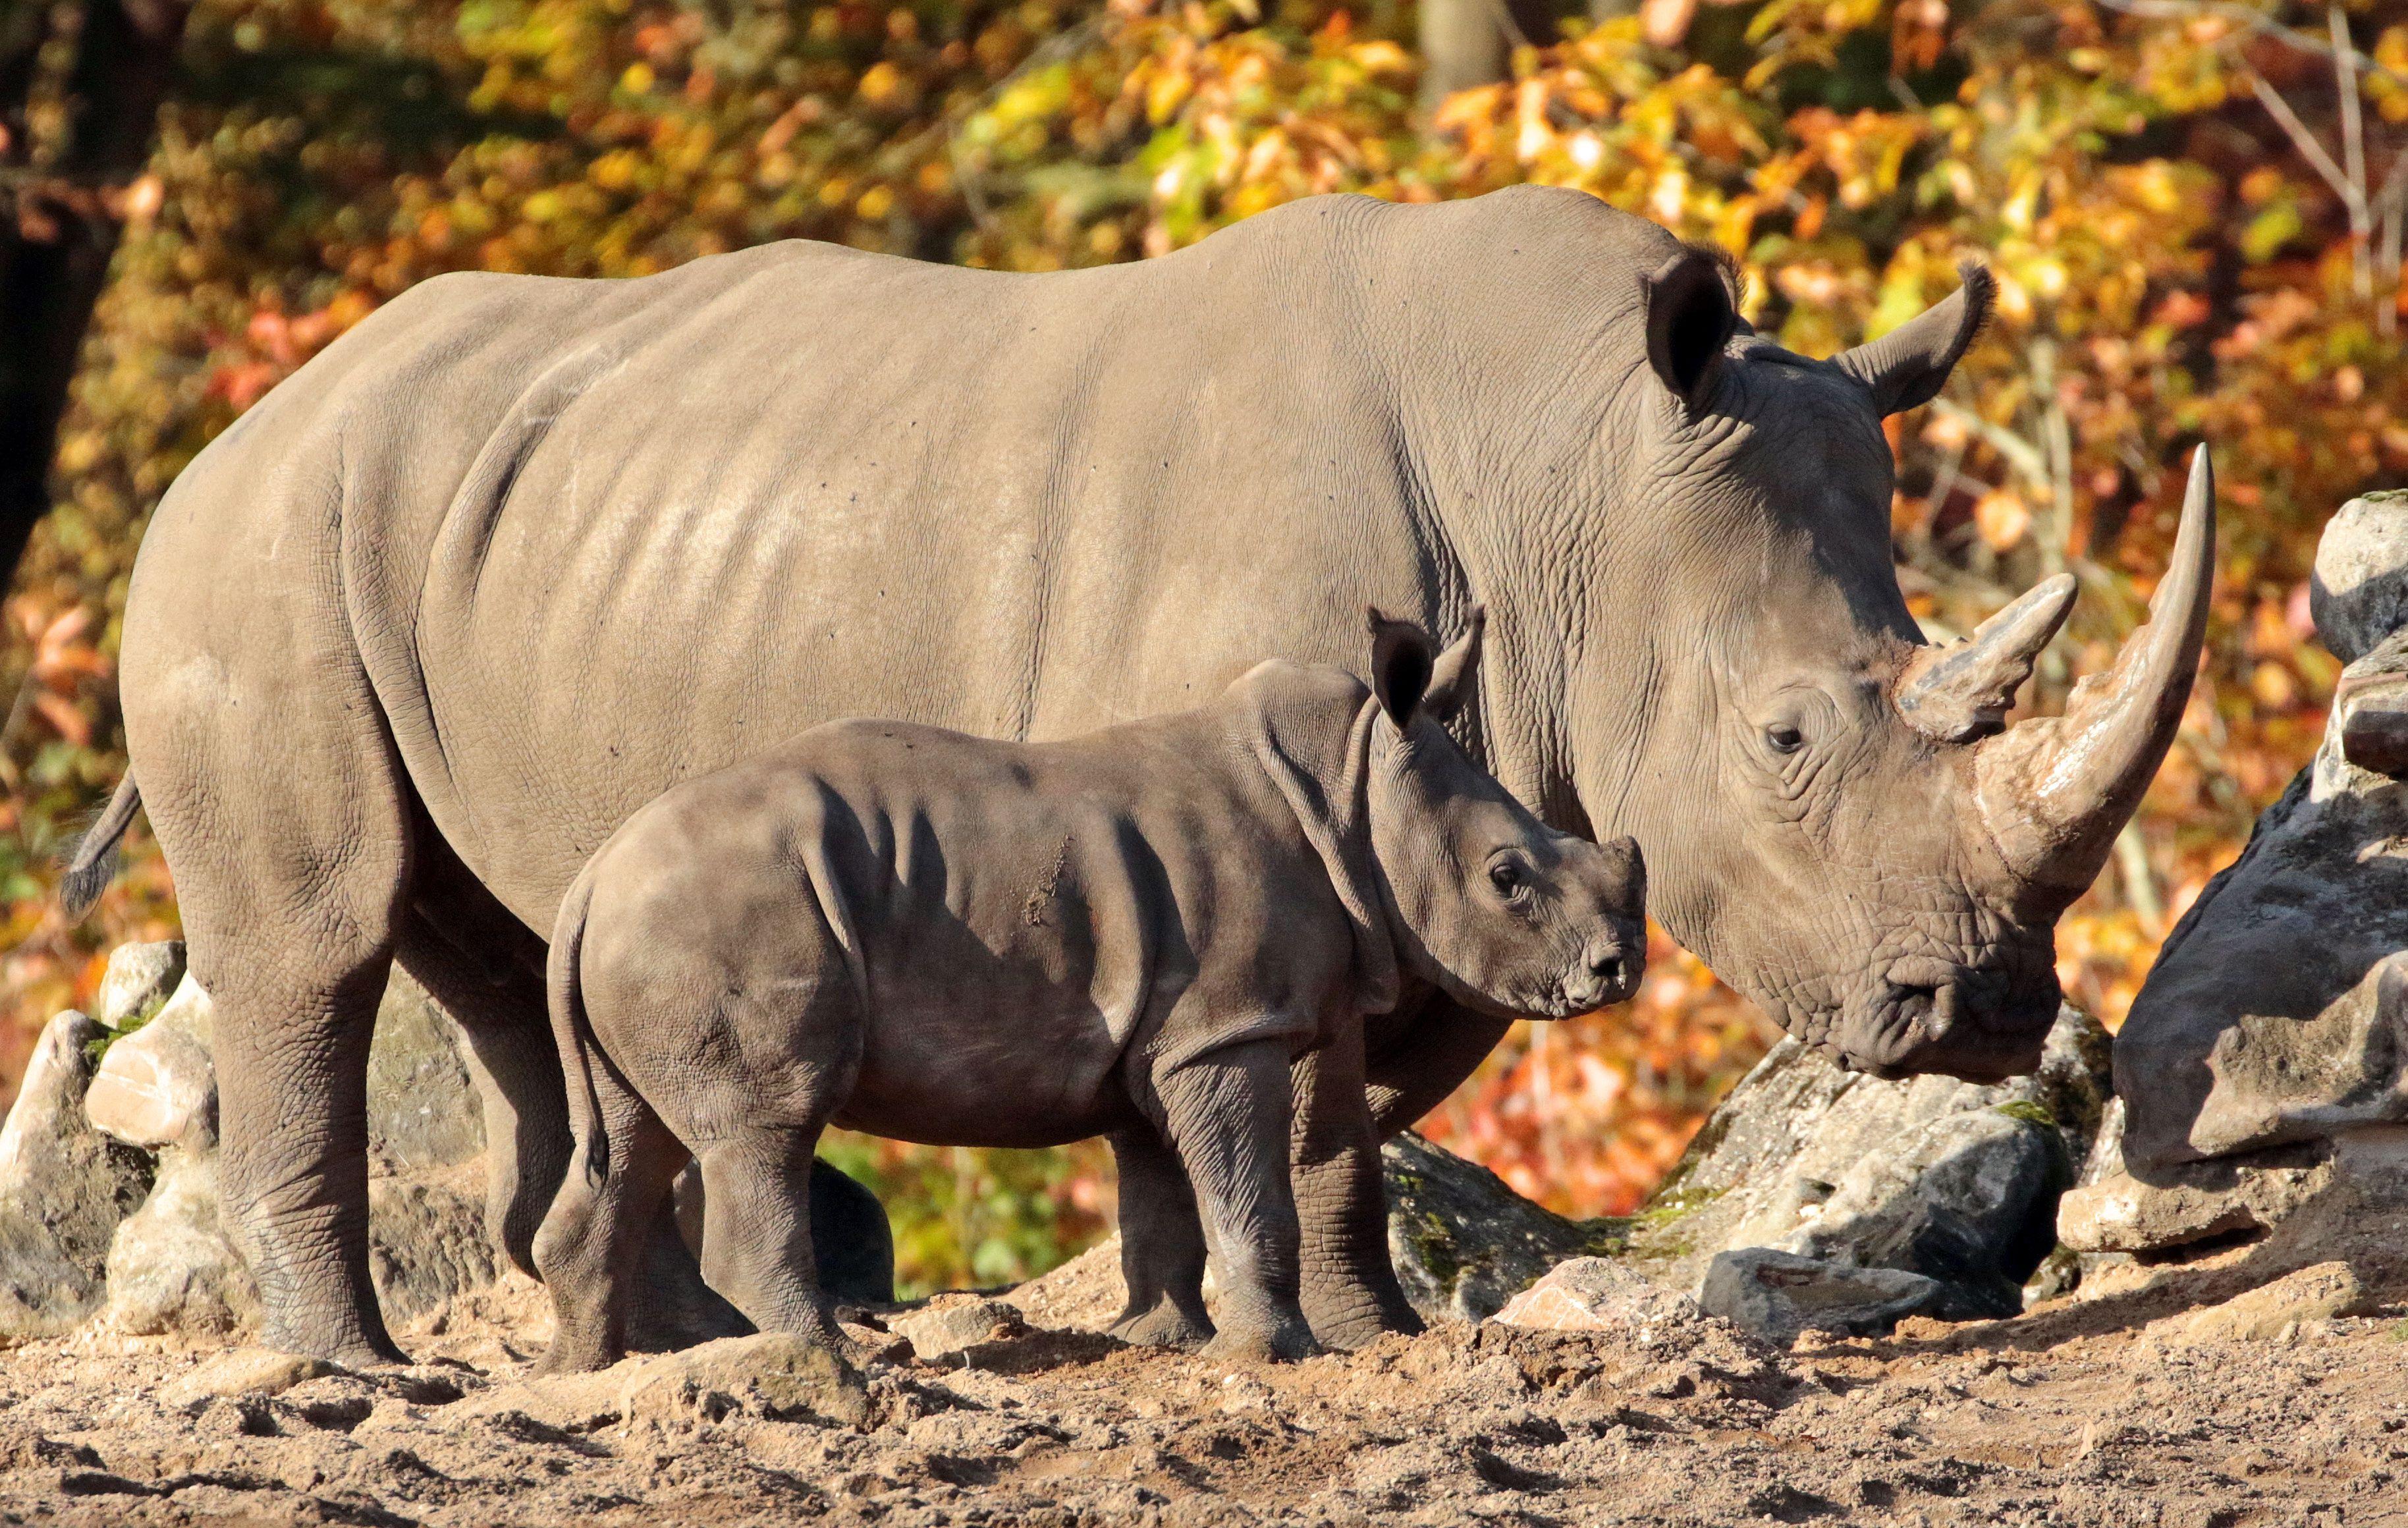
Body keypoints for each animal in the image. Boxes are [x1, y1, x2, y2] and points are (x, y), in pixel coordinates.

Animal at [534, 615, 1646, 1371]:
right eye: (1508, 879)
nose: (1616, 969)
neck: (1351, 792)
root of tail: (588, 882)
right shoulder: (1225, 1031)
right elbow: (1249, 1195)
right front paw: (1281, 1353)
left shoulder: (1169, 1037)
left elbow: (1162, 1195)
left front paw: (1166, 1340)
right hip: (723, 916)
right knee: (765, 1131)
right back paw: (843, 1371)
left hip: (658, 929)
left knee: (635, 1136)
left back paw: (598, 1374)